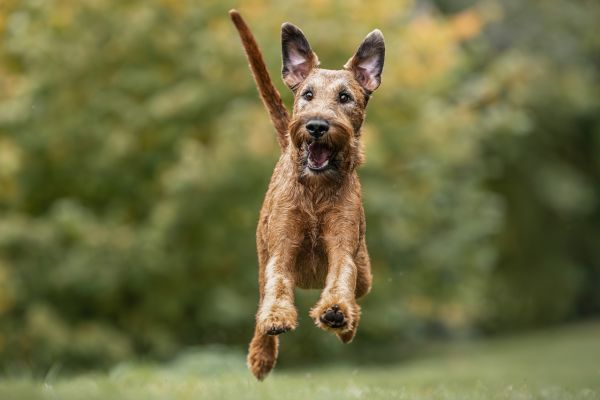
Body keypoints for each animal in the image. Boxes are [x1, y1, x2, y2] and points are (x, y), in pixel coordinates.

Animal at [230, 8, 384, 378]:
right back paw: (261, 354)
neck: (315, 191)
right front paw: (275, 320)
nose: (316, 126)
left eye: (345, 97)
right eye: (307, 95)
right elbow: (276, 286)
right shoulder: (280, 247)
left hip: (365, 268)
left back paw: (346, 324)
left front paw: (336, 312)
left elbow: (342, 278)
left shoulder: (343, 245)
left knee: (358, 288)